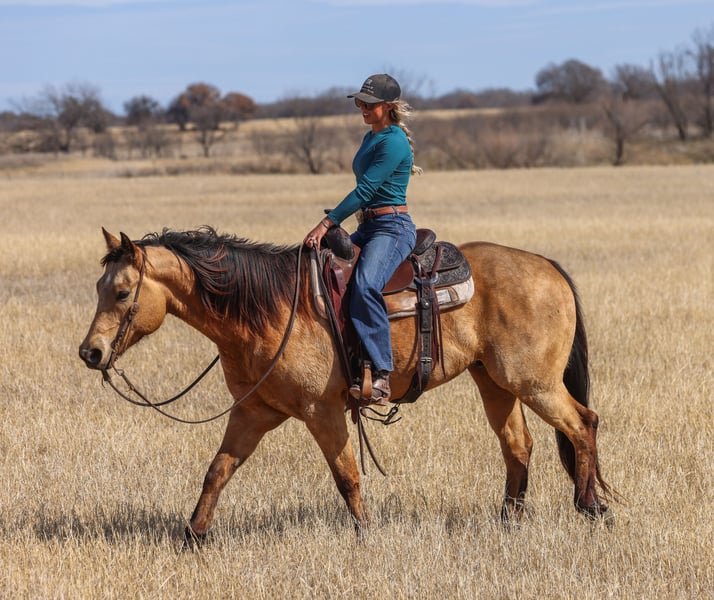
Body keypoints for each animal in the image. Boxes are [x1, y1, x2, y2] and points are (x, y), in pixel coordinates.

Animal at [79, 227, 614, 543]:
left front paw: (366, 534)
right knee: (518, 445)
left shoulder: (323, 412)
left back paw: (591, 507)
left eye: (122, 292)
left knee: (582, 424)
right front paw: (193, 535)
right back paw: (509, 522)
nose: (91, 353)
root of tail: (546, 264)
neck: (269, 310)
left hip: (534, 382)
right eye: (99, 288)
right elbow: (218, 470)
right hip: (497, 382)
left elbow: (347, 476)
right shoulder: (253, 412)